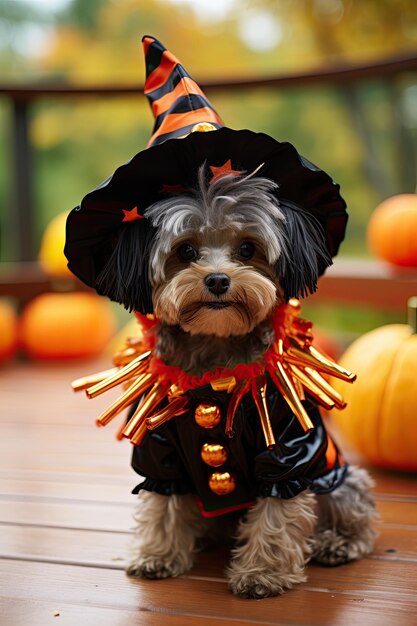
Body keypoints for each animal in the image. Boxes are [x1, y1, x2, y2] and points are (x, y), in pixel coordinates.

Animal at [64, 35, 374, 600]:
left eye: (248, 248)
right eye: (185, 250)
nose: (216, 280)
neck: (215, 359)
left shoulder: (287, 451)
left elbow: (277, 512)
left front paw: (262, 573)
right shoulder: (159, 448)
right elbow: (163, 502)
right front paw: (160, 555)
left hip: (337, 477)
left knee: (353, 512)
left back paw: (335, 545)